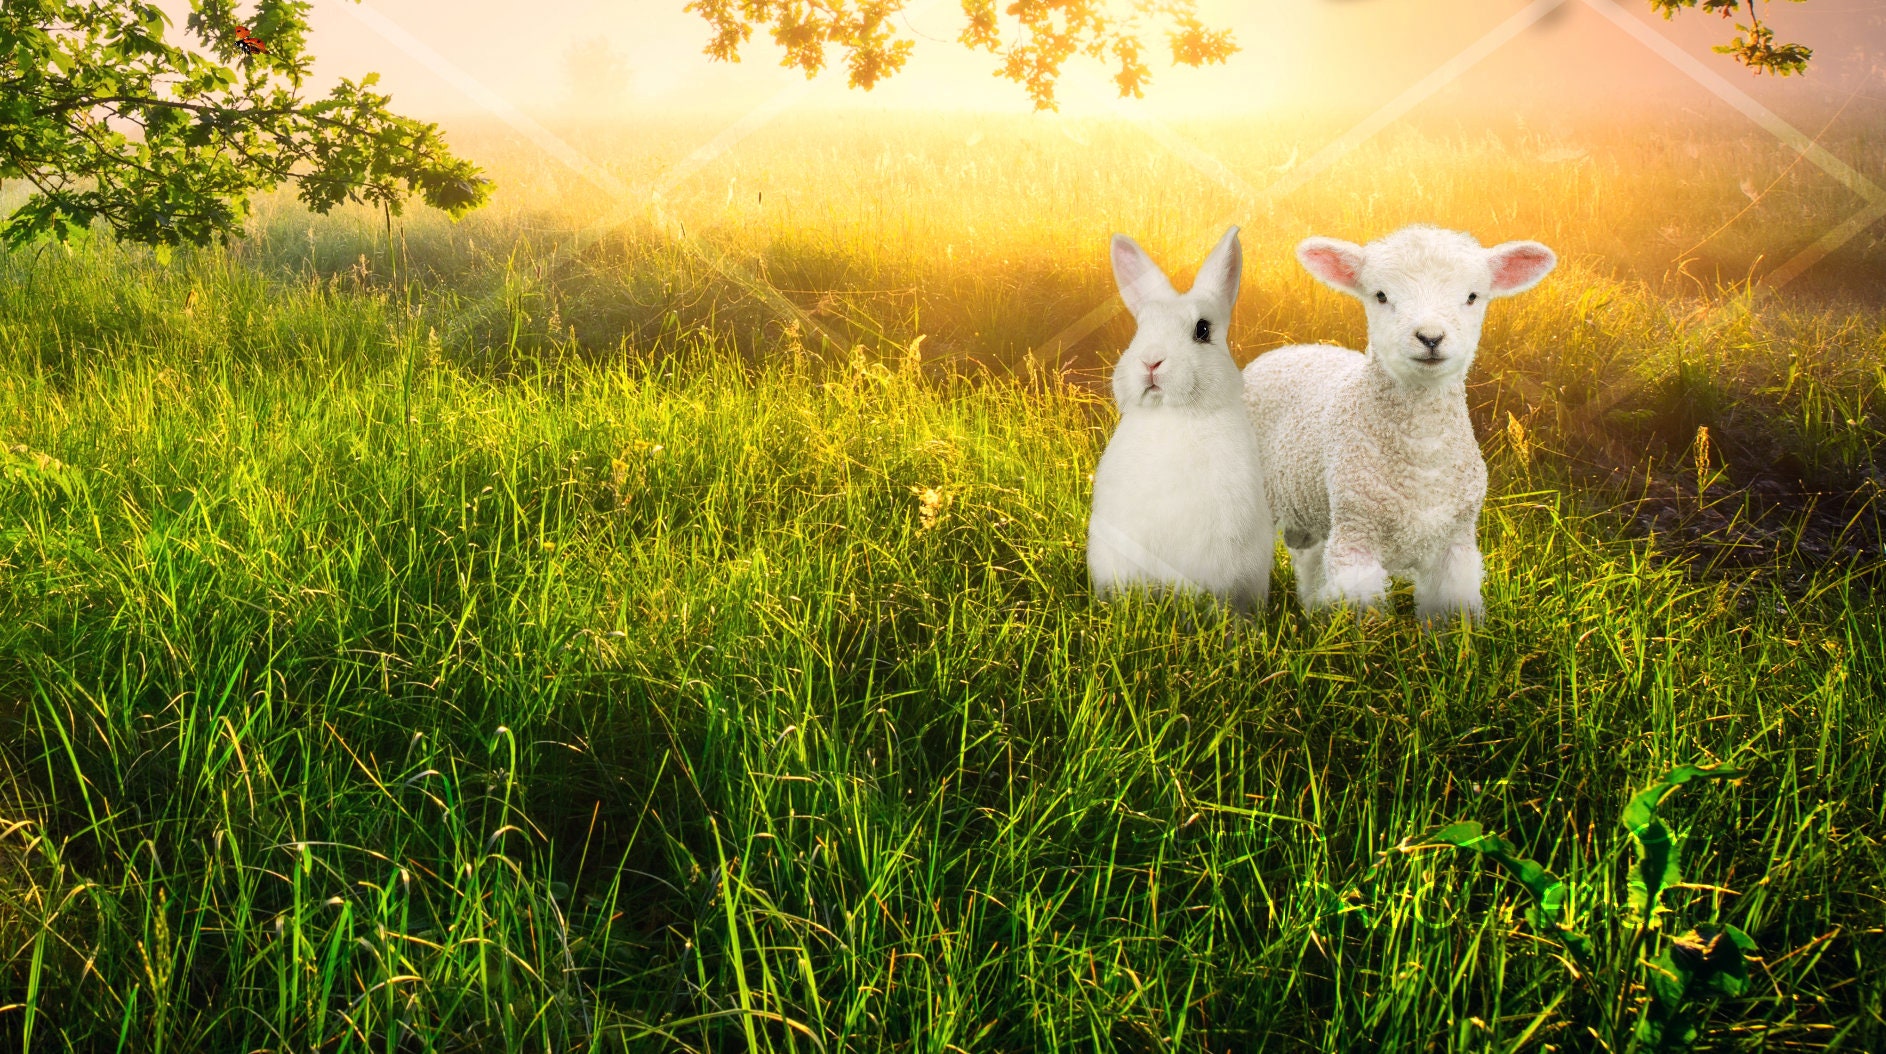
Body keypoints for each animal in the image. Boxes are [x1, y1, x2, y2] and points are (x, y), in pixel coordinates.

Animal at [1241, 225, 1556, 621]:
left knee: (1309, 559)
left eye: (1472, 296)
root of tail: (1287, 350)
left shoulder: (1455, 542)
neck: (1421, 455)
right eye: (1380, 295)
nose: (1430, 337)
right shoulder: (1357, 536)